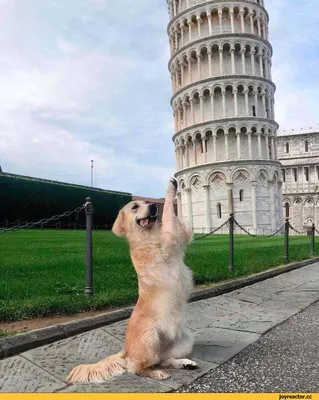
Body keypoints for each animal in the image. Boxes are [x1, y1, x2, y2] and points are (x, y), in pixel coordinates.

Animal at [67, 179, 198, 384]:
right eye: (135, 206)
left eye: (146, 202)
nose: (153, 206)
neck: (147, 236)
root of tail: (125, 351)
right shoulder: (170, 237)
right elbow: (169, 212)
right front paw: (171, 188)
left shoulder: (179, 236)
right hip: (151, 336)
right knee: (137, 367)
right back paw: (157, 373)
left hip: (185, 340)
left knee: (164, 359)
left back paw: (185, 363)